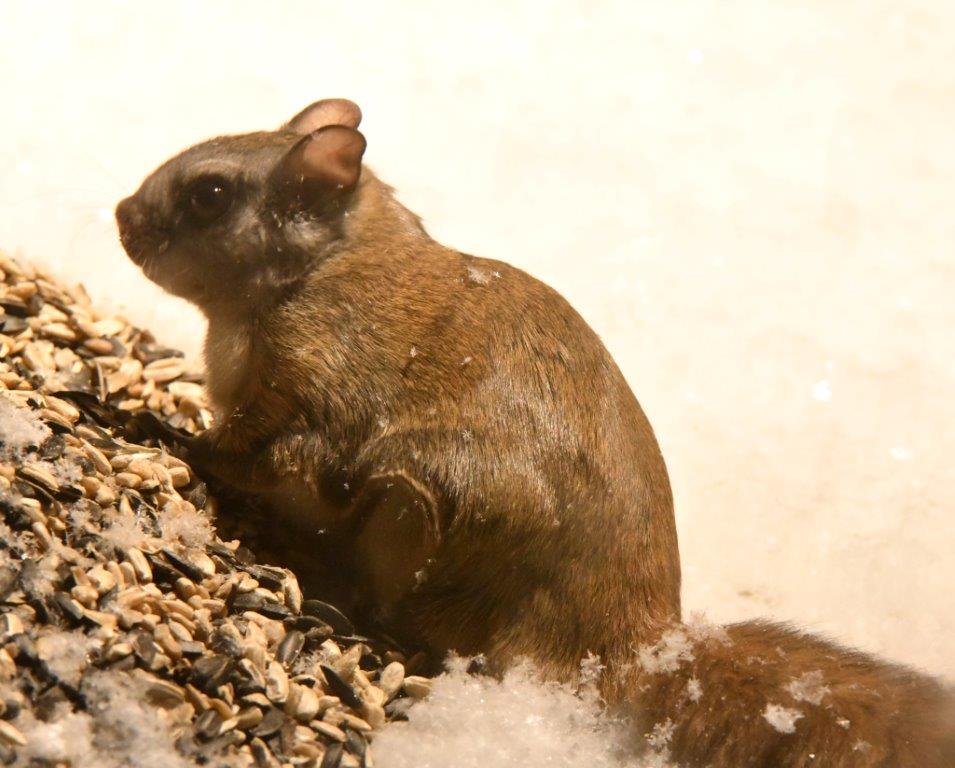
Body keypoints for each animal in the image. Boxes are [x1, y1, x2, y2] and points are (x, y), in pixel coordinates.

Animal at [116, 99, 954, 766]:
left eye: (210, 194)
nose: (123, 216)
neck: (329, 267)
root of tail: (627, 647)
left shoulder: (318, 381)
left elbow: (251, 451)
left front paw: (165, 429)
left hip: (413, 506)